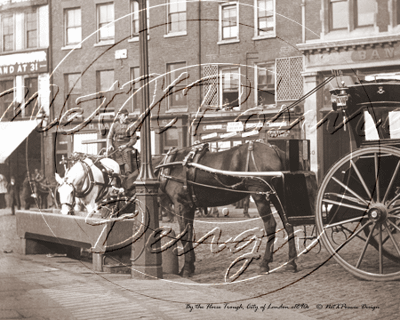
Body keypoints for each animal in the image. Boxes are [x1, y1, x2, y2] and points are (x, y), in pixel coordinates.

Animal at [158, 141, 298, 276]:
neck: (172, 165)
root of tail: (274, 149)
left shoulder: (181, 205)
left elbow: (184, 235)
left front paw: (186, 268)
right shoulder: (189, 207)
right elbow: (190, 233)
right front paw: (190, 265)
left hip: (261, 197)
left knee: (270, 225)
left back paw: (265, 263)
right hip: (277, 196)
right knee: (288, 223)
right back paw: (291, 263)